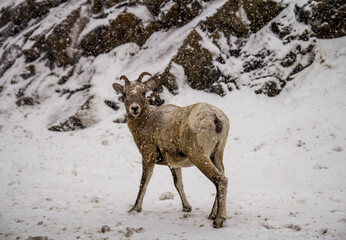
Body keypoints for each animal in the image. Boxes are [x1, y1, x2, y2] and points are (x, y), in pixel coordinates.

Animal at [113, 71, 230, 229]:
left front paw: (135, 208)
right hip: (216, 155)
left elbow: (144, 181)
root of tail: (215, 117)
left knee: (220, 180)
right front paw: (187, 208)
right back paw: (212, 215)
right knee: (222, 178)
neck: (146, 121)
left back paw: (218, 220)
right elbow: (178, 183)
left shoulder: (148, 156)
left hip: (200, 157)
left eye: (143, 92)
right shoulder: (173, 163)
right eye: (125, 94)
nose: (135, 108)